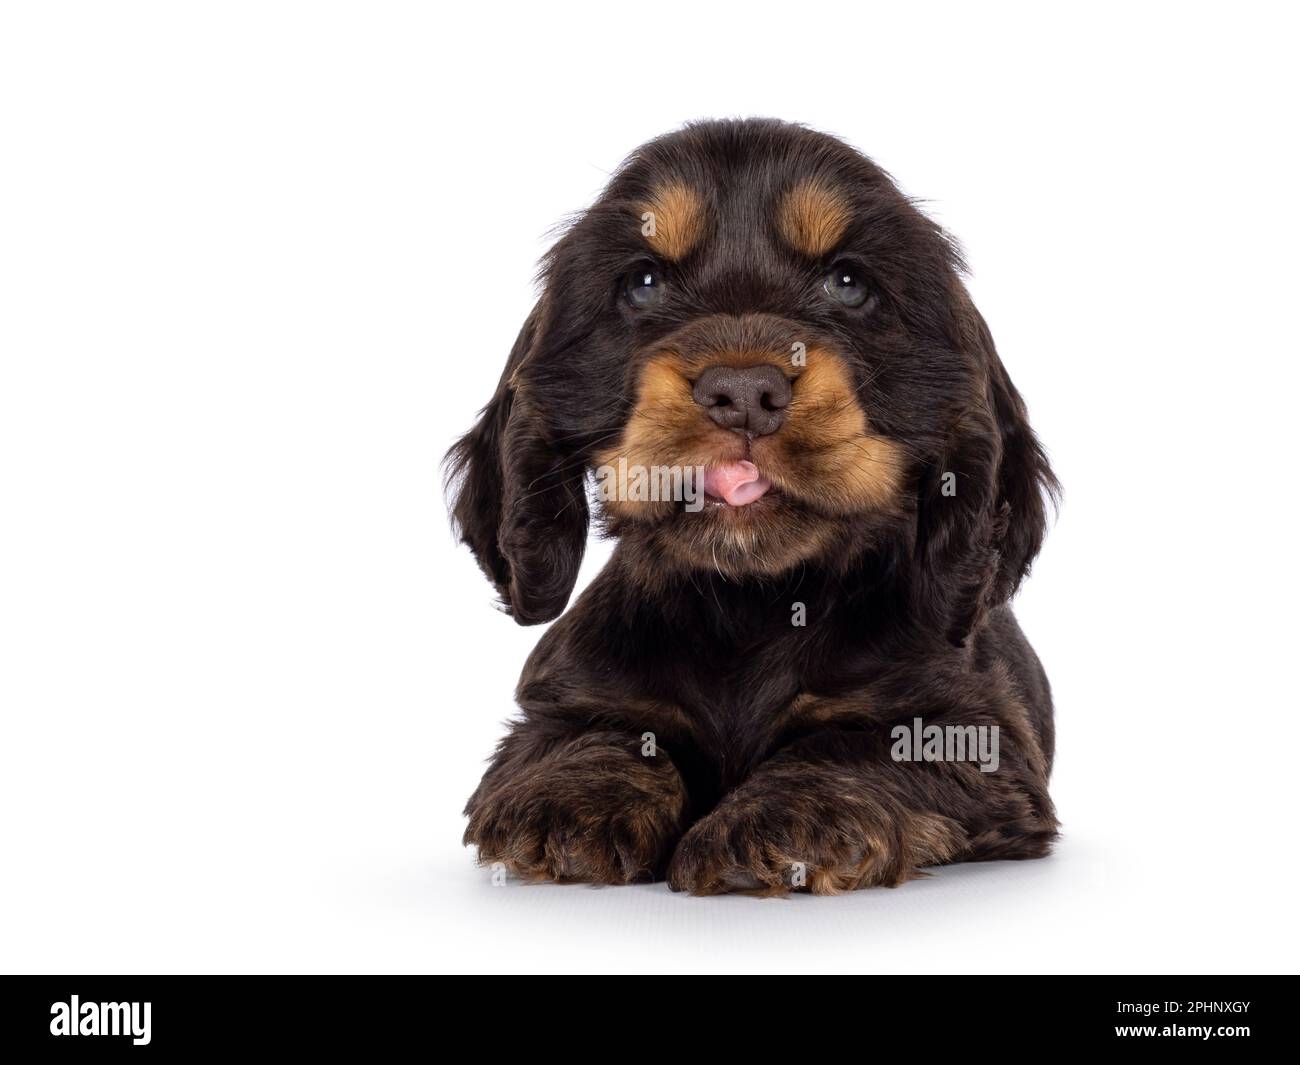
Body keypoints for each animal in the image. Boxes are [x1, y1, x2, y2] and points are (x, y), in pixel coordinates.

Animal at [447, 118, 1055, 899]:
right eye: (642, 283)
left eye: (849, 284)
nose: (742, 392)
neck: (751, 603)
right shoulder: (564, 700)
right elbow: (598, 733)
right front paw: (569, 797)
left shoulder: (980, 736)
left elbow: (856, 744)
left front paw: (782, 819)